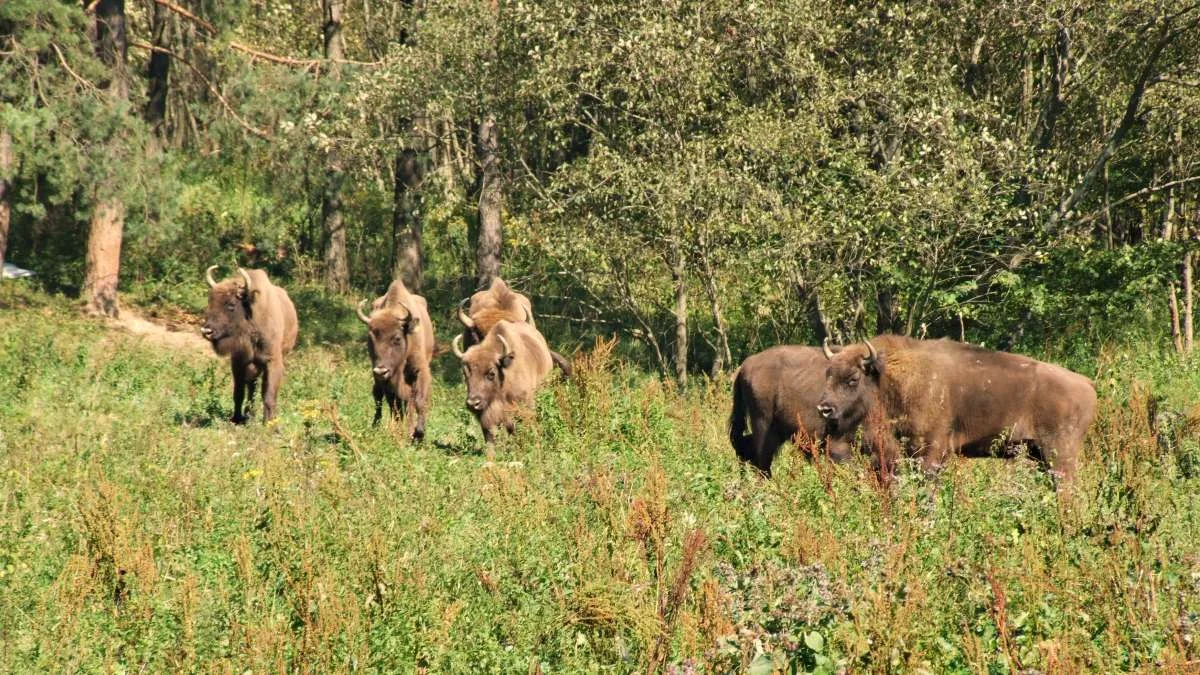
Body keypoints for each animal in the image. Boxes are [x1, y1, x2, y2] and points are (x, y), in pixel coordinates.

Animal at [199, 265, 297, 422]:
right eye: (210, 302)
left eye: (231, 305)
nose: (206, 331)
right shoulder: (239, 361)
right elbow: (238, 392)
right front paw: (236, 418)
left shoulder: (272, 362)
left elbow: (268, 395)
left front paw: (268, 422)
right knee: (251, 388)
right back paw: (249, 415)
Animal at [355, 277, 436, 439]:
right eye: (370, 338)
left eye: (397, 338)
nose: (381, 370)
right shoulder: (385, 379)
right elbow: (390, 401)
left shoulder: (420, 370)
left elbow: (418, 400)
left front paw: (418, 433)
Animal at [816, 333, 1099, 480]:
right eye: (828, 374)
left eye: (853, 379)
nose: (825, 408)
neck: (888, 375)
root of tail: (1087, 384)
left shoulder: (933, 452)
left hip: (1060, 455)